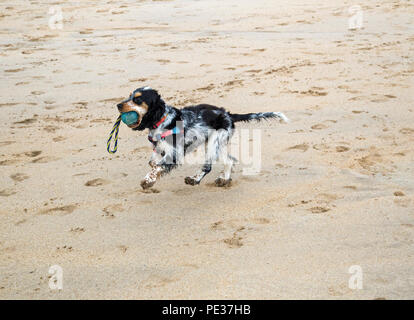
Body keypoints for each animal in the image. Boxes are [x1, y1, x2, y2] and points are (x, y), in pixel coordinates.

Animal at [116, 86, 288, 189]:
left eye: (138, 99)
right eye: (130, 96)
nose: (118, 105)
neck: (163, 120)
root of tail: (228, 114)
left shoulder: (174, 153)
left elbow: (157, 166)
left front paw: (148, 181)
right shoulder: (160, 149)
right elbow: (153, 163)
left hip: (213, 142)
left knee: (208, 166)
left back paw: (194, 179)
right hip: (217, 143)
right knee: (230, 160)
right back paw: (224, 179)